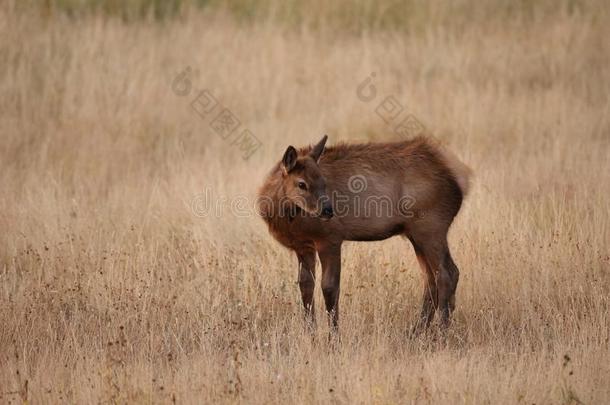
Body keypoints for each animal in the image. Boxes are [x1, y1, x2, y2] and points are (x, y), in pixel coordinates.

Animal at [256, 135, 470, 332]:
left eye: (323, 182)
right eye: (301, 184)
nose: (328, 210)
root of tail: (460, 184)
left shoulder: (330, 238)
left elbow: (330, 287)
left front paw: (334, 337)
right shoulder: (303, 246)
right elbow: (305, 286)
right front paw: (310, 332)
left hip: (431, 227)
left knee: (448, 273)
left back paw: (440, 332)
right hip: (416, 234)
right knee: (431, 278)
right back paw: (417, 331)